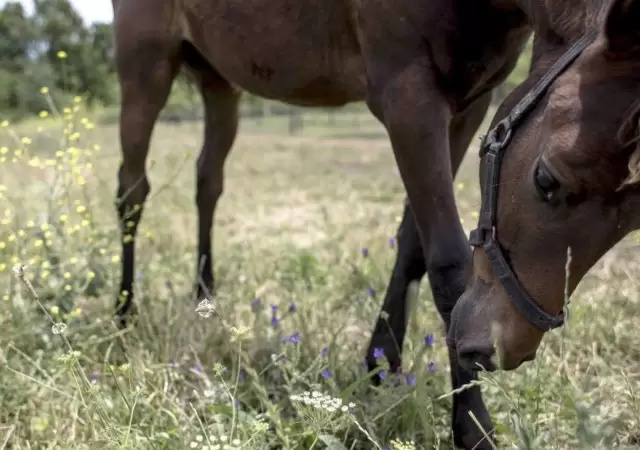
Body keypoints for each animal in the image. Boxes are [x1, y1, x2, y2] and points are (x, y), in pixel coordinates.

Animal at [110, 0, 541, 448]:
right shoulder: (409, 98)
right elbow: (448, 259)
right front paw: (473, 424)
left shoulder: (469, 104)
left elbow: (412, 242)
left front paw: (381, 365)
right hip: (146, 63)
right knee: (132, 190)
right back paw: (124, 312)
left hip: (219, 82)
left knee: (207, 180)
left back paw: (203, 294)